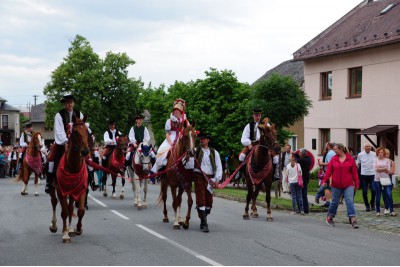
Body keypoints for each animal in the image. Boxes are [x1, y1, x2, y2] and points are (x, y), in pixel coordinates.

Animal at [48, 116, 90, 244]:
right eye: (75, 132)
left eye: (87, 131)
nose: (85, 151)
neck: (72, 167)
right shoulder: (60, 191)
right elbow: (64, 212)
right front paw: (65, 235)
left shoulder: (81, 189)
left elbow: (80, 210)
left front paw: (77, 229)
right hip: (53, 189)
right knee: (54, 203)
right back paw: (55, 226)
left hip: (72, 191)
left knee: (71, 208)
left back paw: (70, 229)